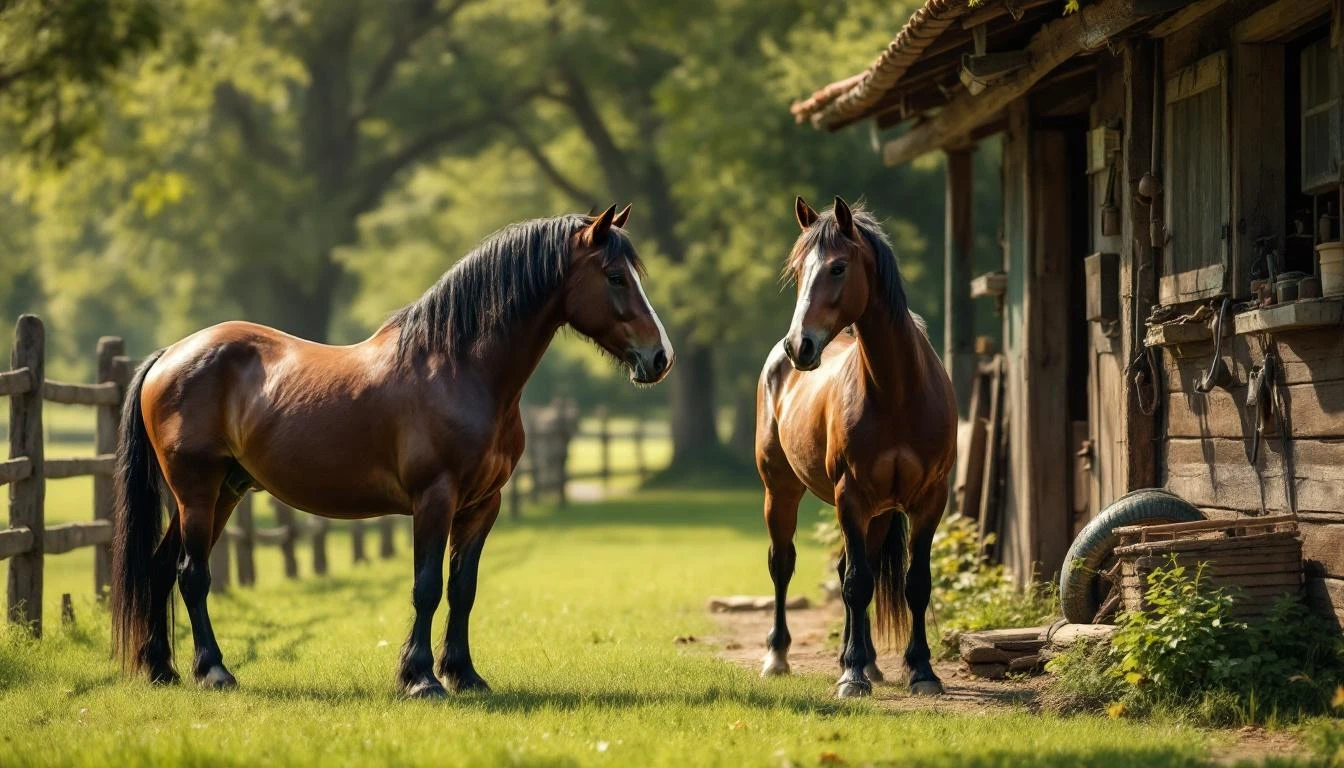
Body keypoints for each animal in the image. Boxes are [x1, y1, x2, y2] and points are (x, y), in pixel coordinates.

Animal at [110, 205, 673, 698]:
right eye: (615, 276)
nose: (660, 357)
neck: (459, 369)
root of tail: (171, 354)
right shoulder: (435, 499)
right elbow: (427, 586)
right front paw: (421, 679)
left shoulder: (482, 506)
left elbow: (463, 589)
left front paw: (463, 674)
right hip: (197, 491)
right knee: (191, 574)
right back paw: (214, 672)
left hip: (223, 492)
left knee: (161, 567)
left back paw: (161, 669)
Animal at [755, 196, 956, 698]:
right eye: (798, 270)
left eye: (838, 267)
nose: (799, 346)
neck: (897, 392)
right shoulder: (850, 495)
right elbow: (856, 584)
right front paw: (851, 675)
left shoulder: (930, 500)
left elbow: (915, 583)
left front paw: (921, 670)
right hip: (781, 491)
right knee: (783, 564)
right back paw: (780, 656)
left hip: (878, 514)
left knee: (852, 564)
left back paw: (870, 662)